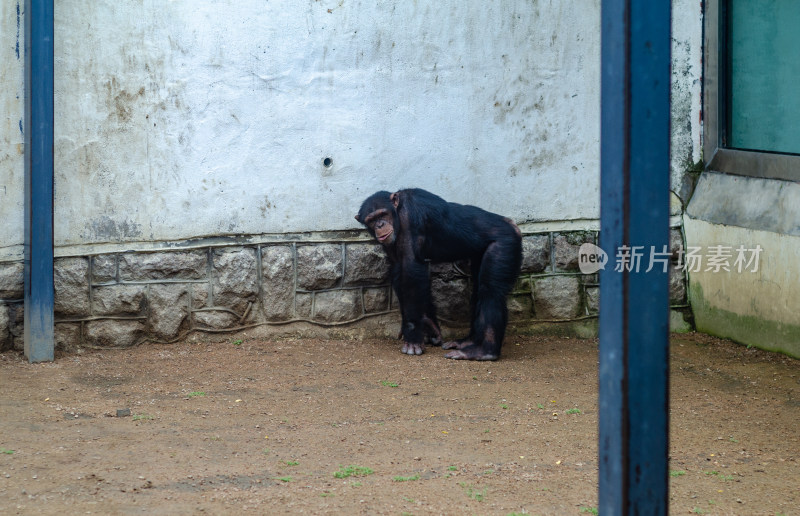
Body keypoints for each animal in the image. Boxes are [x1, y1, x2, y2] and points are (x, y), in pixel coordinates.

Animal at [358, 187, 524, 360]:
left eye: (383, 214)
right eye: (371, 220)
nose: (380, 225)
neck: (397, 212)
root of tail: (513, 225)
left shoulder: (410, 215)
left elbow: (412, 271)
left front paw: (413, 338)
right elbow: (399, 270)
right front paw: (427, 324)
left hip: (505, 244)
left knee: (490, 291)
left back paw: (485, 351)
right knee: (478, 290)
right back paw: (468, 341)